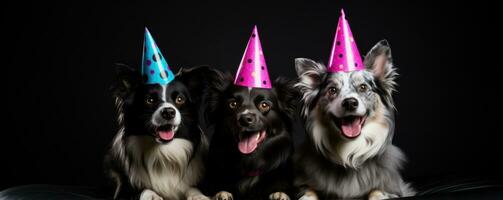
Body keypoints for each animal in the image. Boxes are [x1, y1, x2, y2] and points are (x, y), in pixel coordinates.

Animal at [203, 72, 300, 200]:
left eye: (264, 105)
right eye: (233, 104)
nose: (245, 119)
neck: (250, 162)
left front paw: (280, 194)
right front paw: (222, 193)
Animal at [294, 39, 416, 199]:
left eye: (363, 87)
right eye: (332, 90)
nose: (350, 103)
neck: (349, 152)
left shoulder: (397, 188)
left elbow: (377, 192)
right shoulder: (302, 184)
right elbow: (309, 192)